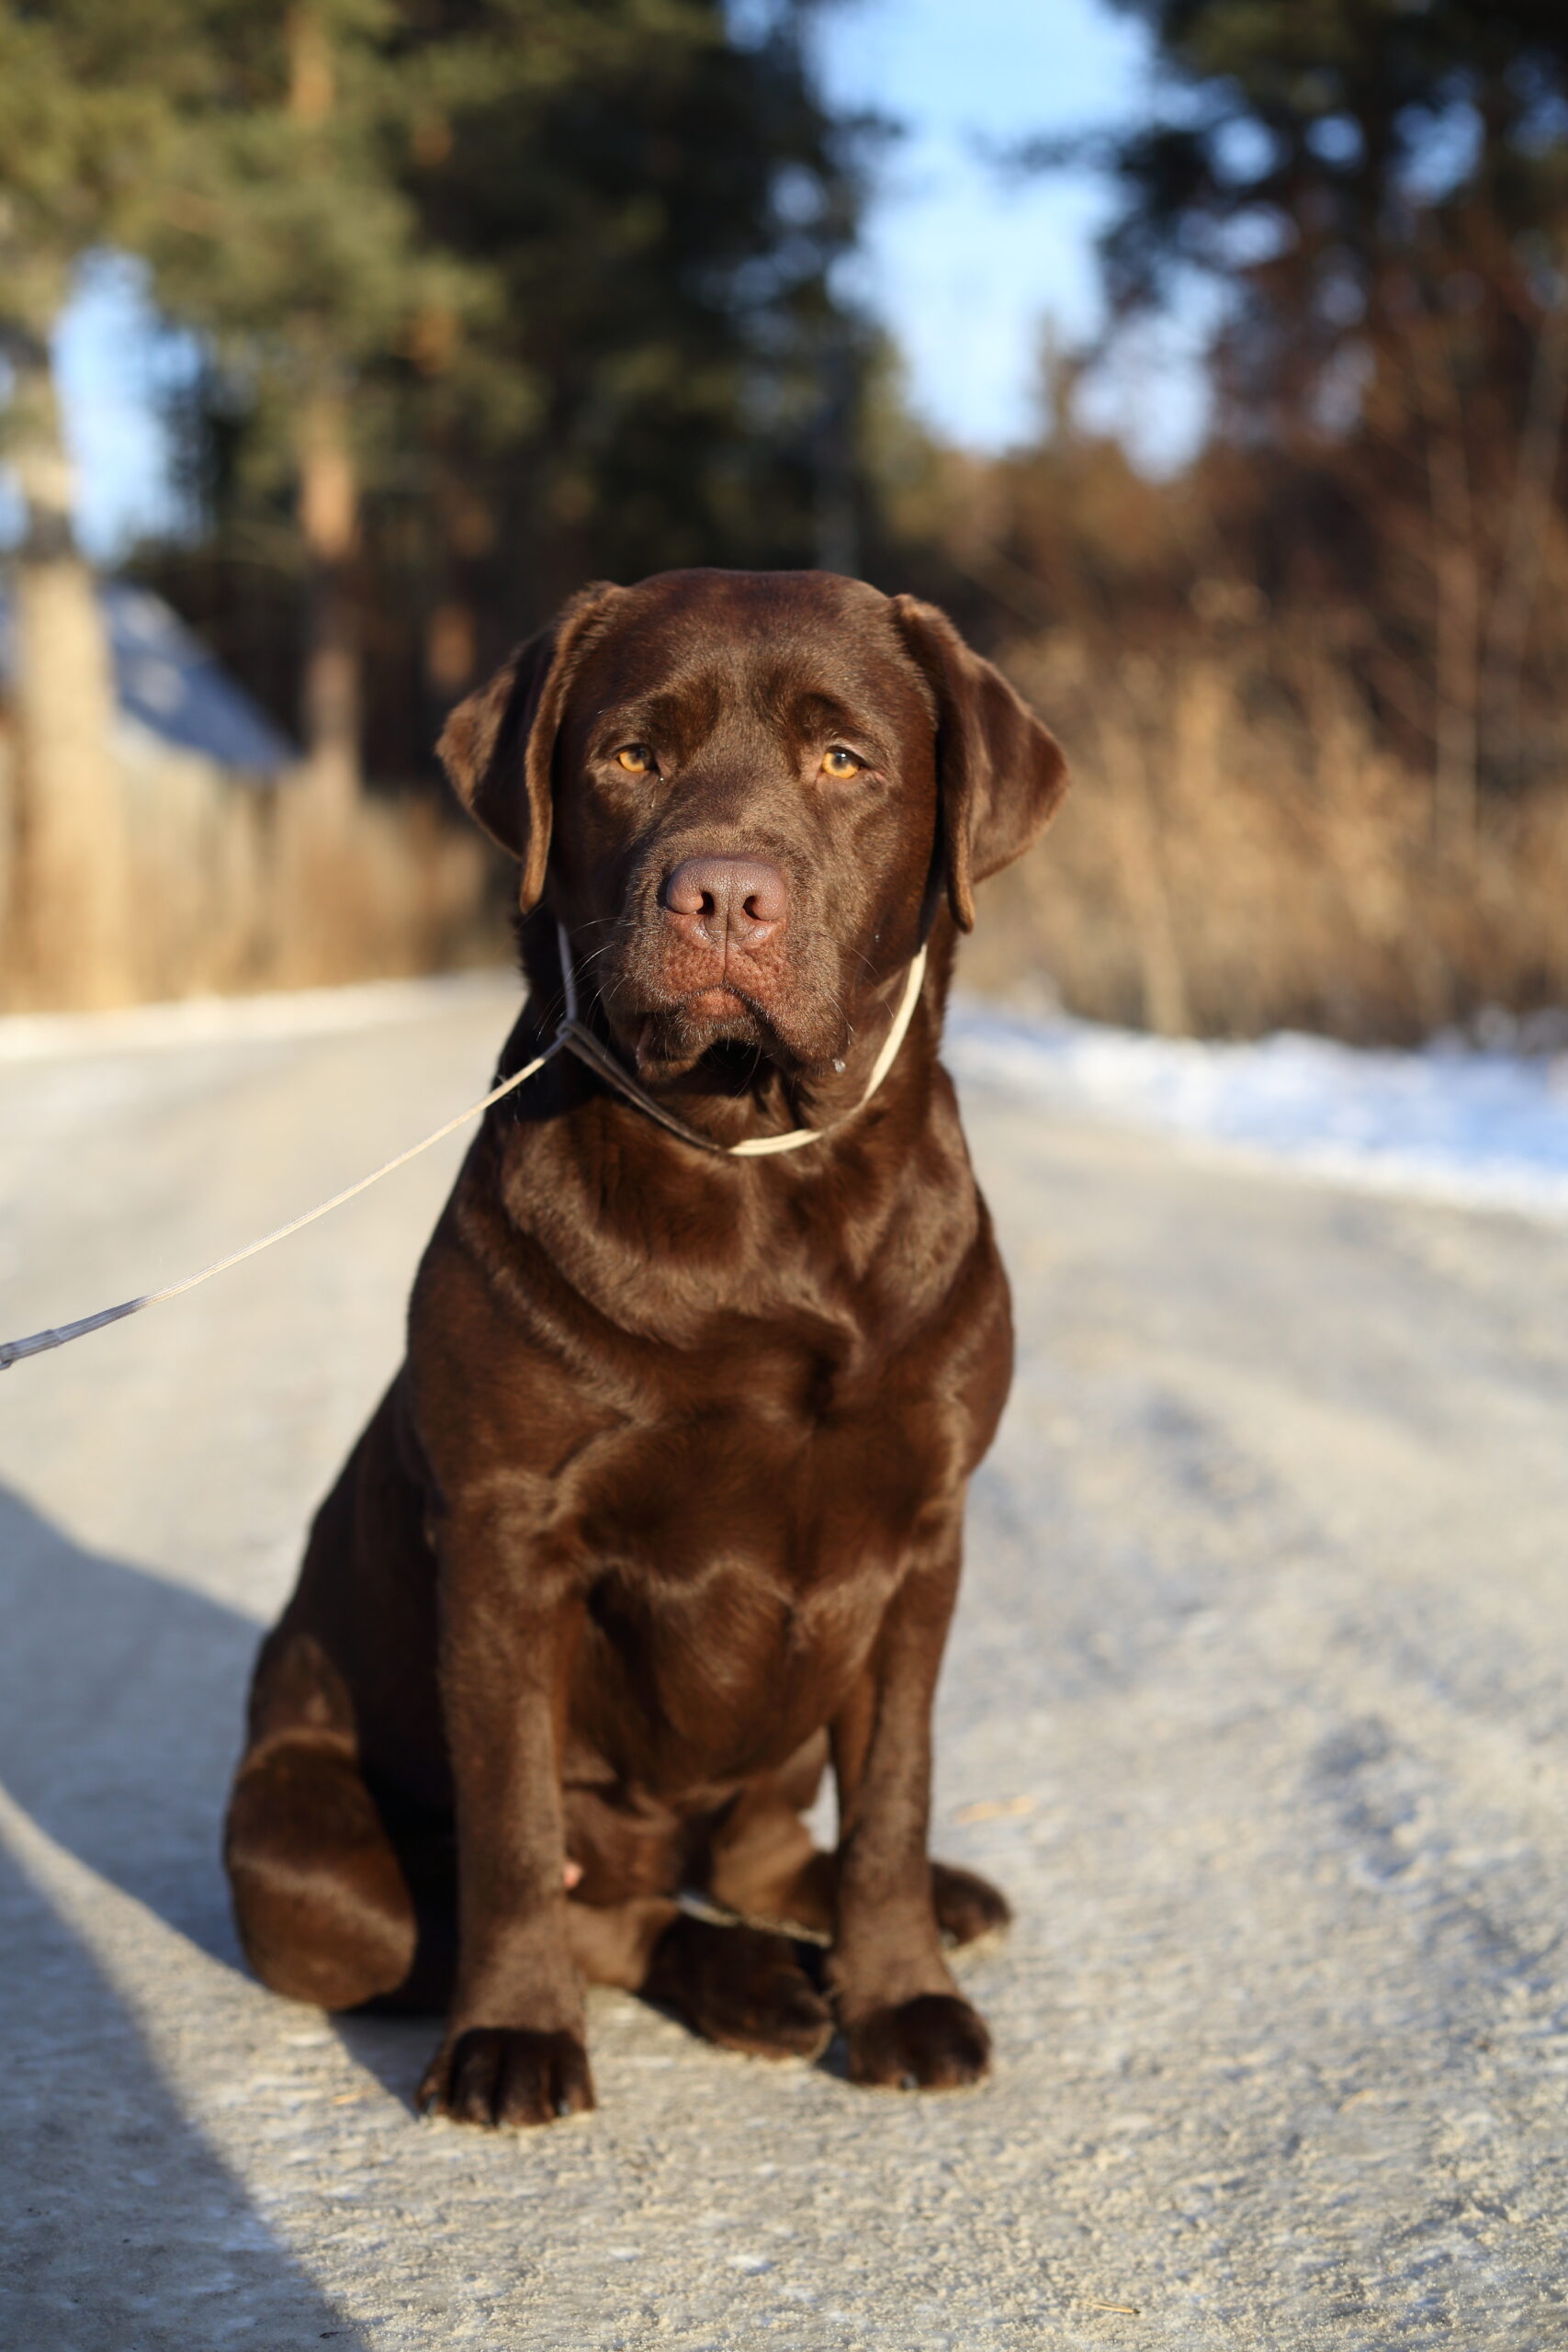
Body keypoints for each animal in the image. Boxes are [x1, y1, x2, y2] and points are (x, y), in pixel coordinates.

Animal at [223, 573, 1066, 2135]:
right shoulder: (507, 1540)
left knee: (756, 1851)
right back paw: (744, 1982)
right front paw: (513, 2036)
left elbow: (896, 1789)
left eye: (842, 761)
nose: (720, 893)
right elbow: (511, 1828)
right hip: (305, 1857)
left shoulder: (922, 1535)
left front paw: (902, 1994)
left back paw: (906, 1914)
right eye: (628, 757)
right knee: (579, 1905)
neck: (757, 1177)